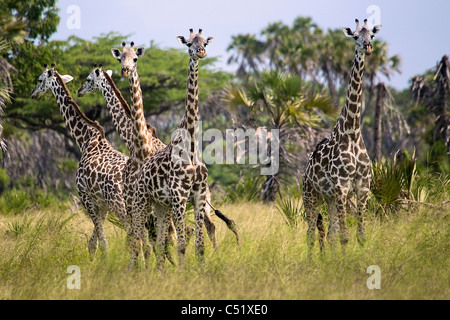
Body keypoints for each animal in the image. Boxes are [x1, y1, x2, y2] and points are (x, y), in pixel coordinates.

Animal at [30, 63, 129, 256]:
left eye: (39, 80)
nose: (33, 94)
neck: (85, 140)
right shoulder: (101, 204)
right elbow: (93, 242)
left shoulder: (85, 196)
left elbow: (101, 241)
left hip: (119, 204)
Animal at [127, 29, 214, 270]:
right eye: (189, 44)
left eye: (205, 43)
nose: (201, 53)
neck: (191, 147)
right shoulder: (179, 196)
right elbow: (182, 244)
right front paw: (183, 273)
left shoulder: (199, 194)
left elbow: (199, 244)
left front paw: (203, 271)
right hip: (141, 201)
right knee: (137, 238)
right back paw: (135, 270)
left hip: (161, 206)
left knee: (158, 242)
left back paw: (160, 271)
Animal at [300, 20, 382, 255]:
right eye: (355, 37)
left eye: (372, 35)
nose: (368, 47)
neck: (352, 133)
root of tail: (305, 170)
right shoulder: (342, 186)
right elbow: (346, 236)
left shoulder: (362, 187)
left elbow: (360, 235)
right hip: (311, 196)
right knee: (311, 233)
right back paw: (311, 260)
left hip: (329, 199)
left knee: (330, 233)